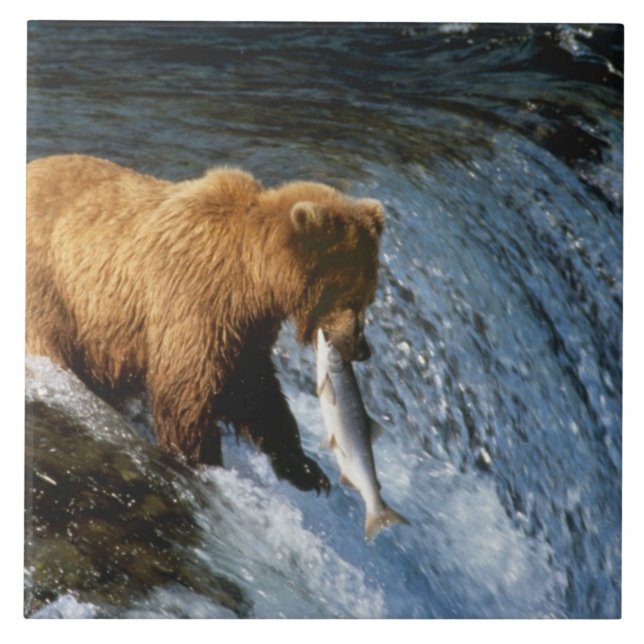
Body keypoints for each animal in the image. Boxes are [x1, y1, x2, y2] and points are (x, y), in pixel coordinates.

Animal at [26, 154, 384, 494]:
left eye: (369, 298)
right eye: (353, 299)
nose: (362, 349)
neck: (255, 276)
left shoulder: (246, 325)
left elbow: (253, 387)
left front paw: (305, 468)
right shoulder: (196, 297)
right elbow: (187, 388)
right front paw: (202, 460)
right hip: (50, 291)